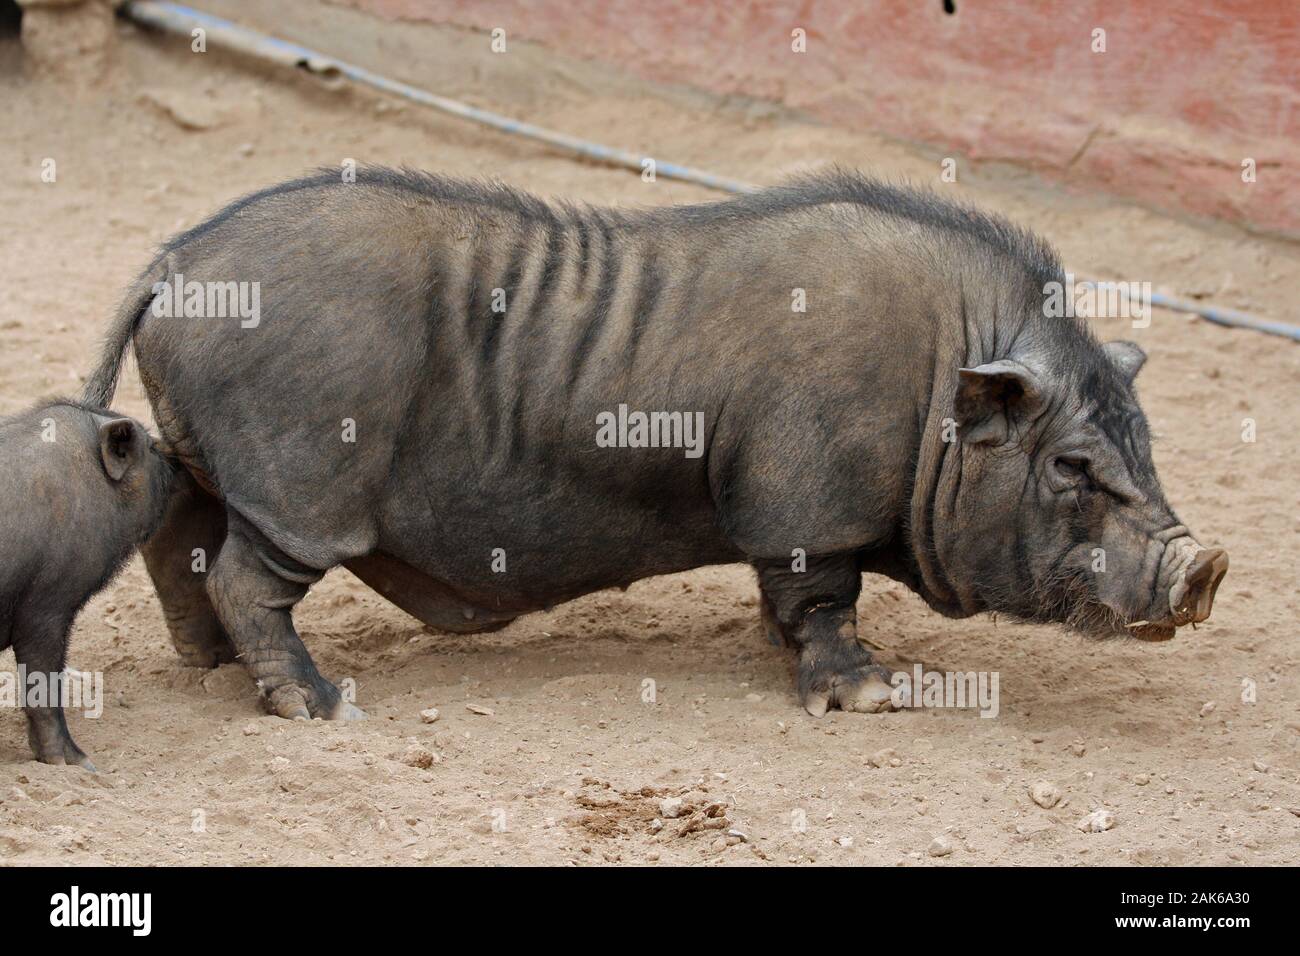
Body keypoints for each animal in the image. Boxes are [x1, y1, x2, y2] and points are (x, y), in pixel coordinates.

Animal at [81, 167, 1227, 721]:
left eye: (1145, 444)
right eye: (1072, 468)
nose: (1206, 563)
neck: (950, 373)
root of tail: (173, 265)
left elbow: (797, 597)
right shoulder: (806, 501)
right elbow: (825, 596)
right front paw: (870, 696)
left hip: (218, 453)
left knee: (184, 529)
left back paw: (211, 665)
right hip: (303, 474)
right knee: (250, 570)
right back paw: (313, 705)